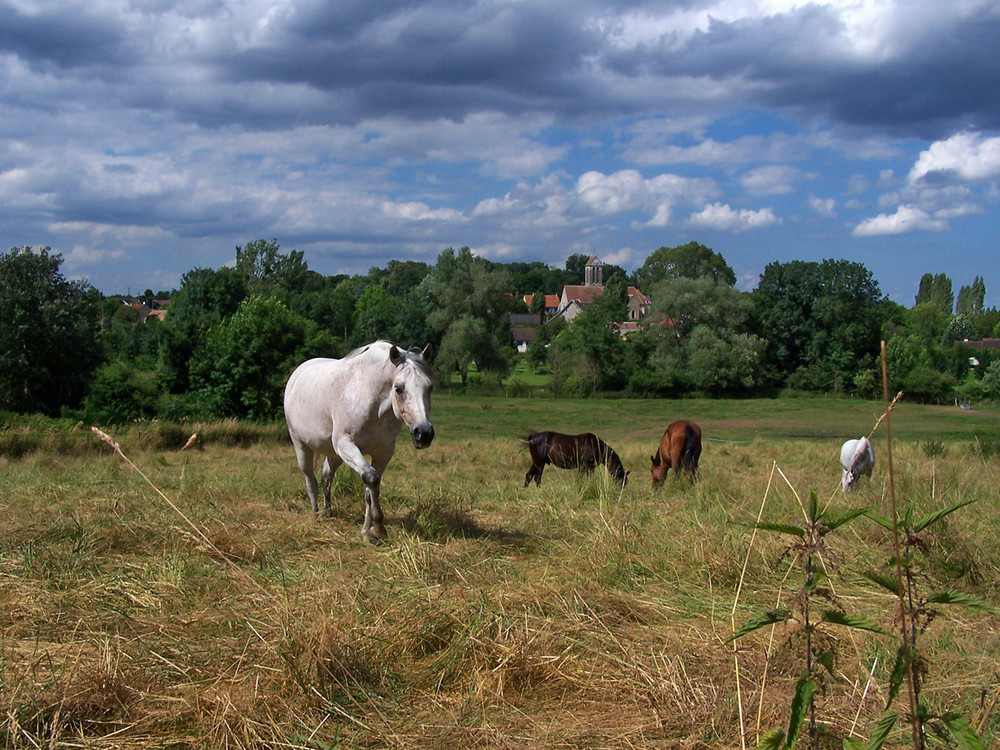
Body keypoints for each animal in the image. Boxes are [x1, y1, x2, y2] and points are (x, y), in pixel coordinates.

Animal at [284, 340, 436, 540]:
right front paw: (378, 528)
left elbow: (371, 490)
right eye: (398, 388)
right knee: (311, 481)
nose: (424, 434)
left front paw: (367, 531)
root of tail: (297, 374)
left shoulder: (383, 453)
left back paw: (327, 511)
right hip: (302, 445)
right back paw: (316, 516)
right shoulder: (346, 445)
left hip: (335, 454)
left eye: (430, 387)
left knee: (326, 476)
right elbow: (371, 478)